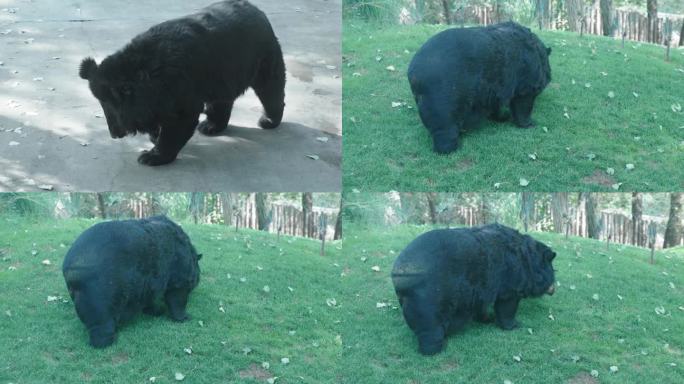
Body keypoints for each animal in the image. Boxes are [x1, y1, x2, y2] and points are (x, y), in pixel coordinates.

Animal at [61, 216, 202, 348]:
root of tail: (72, 269)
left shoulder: (147, 284)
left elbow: (150, 298)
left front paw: (155, 311)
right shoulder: (179, 272)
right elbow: (177, 297)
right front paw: (184, 317)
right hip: (100, 291)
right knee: (101, 322)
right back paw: (108, 340)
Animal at [79, 0, 284, 165]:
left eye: (112, 109)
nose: (115, 134)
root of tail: (258, 10)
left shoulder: (180, 82)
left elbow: (181, 118)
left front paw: (151, 156)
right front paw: (154, 136)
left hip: (261, 55)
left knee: (270, 87)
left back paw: (268, 120)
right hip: (223, 71)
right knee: (221, 100)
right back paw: (211, 126)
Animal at [390, 224, 556, 356]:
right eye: (553, 270)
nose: (553, 289)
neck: (527, 260)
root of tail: (399, 272)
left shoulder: (480, 288)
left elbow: (481, 305)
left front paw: (487, 318)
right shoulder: (511, 277)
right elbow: (507, 304)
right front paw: (515, 325)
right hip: (429, 296)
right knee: (430, 326)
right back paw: (437, 347)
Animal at [406, 22, 552, 153]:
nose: (549, 77)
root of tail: (413, 72)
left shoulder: (495, 86)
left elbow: (496, 103)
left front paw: (501, 117)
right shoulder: (526, 75)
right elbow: (523, 101)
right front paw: (529, 123)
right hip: (443, 94)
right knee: (444, 125)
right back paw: (452, 146)